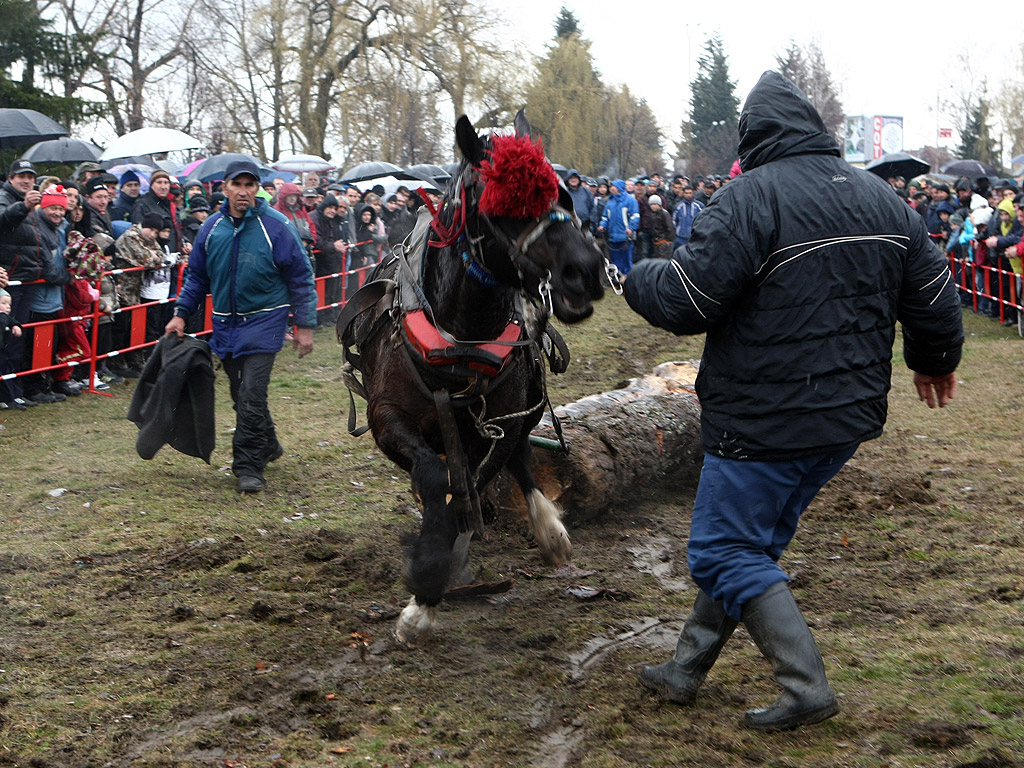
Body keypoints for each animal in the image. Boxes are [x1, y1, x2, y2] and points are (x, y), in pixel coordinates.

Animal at [339, 109, 610, 651]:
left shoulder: (503, 423)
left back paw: (547, 531)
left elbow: (481, 479)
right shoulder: (386, 416)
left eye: (565, 196)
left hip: (526, 407)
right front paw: (427, 572)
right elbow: (434, 476)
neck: (459, 339)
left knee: (521, 458)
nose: (586, 270)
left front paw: (427, 593)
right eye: (503, 203)